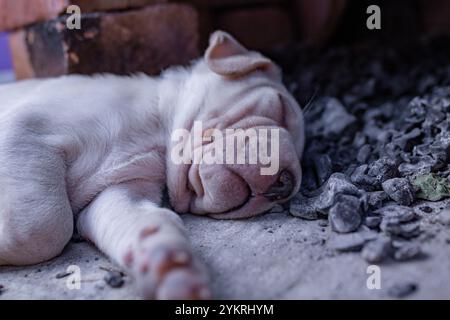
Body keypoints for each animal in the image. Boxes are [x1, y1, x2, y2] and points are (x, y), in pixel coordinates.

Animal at [0, 31, 306, 298]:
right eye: (279, 106)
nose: (285, 184)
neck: (157, 129)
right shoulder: (25, 128)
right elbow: (44, 225)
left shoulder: (120, 189)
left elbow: (144, 221)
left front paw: (173, 269)